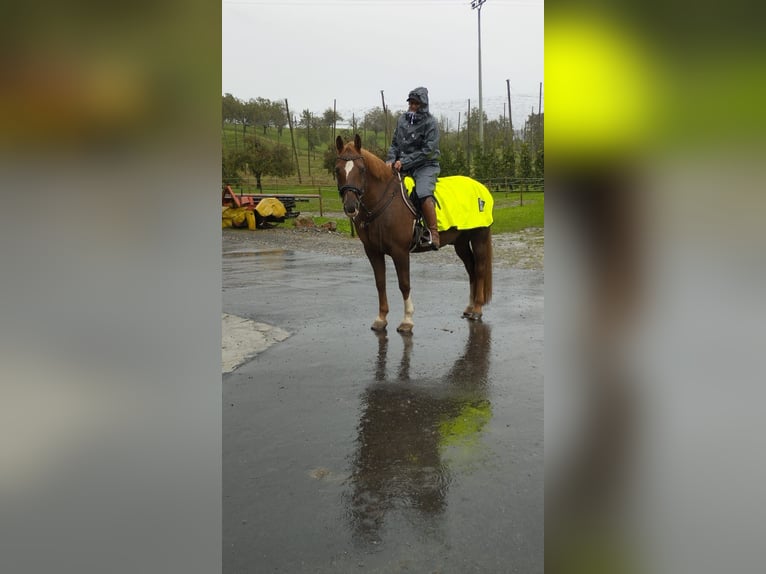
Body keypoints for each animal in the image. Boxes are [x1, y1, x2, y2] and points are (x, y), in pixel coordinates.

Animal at [338, 135, 496, 332]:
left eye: (361, 169)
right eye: (337, 170)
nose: (351, 206)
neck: (385, 203)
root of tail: (481, 188)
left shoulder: (400, 252)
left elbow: (404, 284)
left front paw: (407, 320)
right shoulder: (373, 252)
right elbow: (380, 283)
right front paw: (381, 318)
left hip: (479, 238)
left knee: (480, 269)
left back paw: (477, 309)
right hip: (460, 244)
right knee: (471, 269)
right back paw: (470, 307)